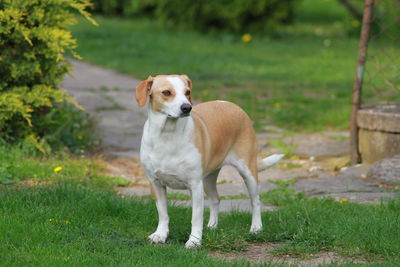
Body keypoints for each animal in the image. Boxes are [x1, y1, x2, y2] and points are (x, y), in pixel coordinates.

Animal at [136, 75, 282, 249]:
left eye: (187, 92)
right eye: (166, 92)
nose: (187, 107)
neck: (167, 135)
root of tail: (232, 105)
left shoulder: (195, 185)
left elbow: (196, 217)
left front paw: (194, 240)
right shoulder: (156, 183)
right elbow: (163, 213)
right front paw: (161, 235)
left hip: (248, 172)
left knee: (255, 201)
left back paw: (256, 228)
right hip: (208, 179)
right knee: (215, 199)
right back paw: (212, 226)